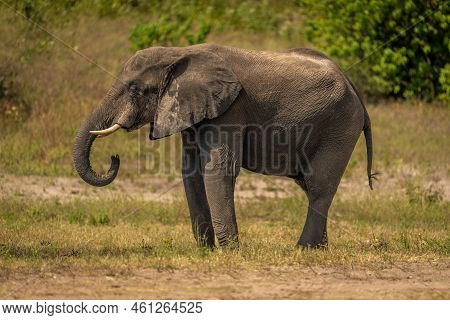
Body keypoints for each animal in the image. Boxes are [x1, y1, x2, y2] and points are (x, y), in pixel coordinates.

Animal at [74, 43, 376, 249]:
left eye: (135, 89)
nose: (114, 158)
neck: (179, 53)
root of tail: (354, 89)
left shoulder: (230, 110)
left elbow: (218, 169)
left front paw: (229, 250)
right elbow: (192, 173)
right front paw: (205, 250)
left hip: (339, 126)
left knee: (318, 186)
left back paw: (304, 249)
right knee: (310, 186)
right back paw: (320, 248)